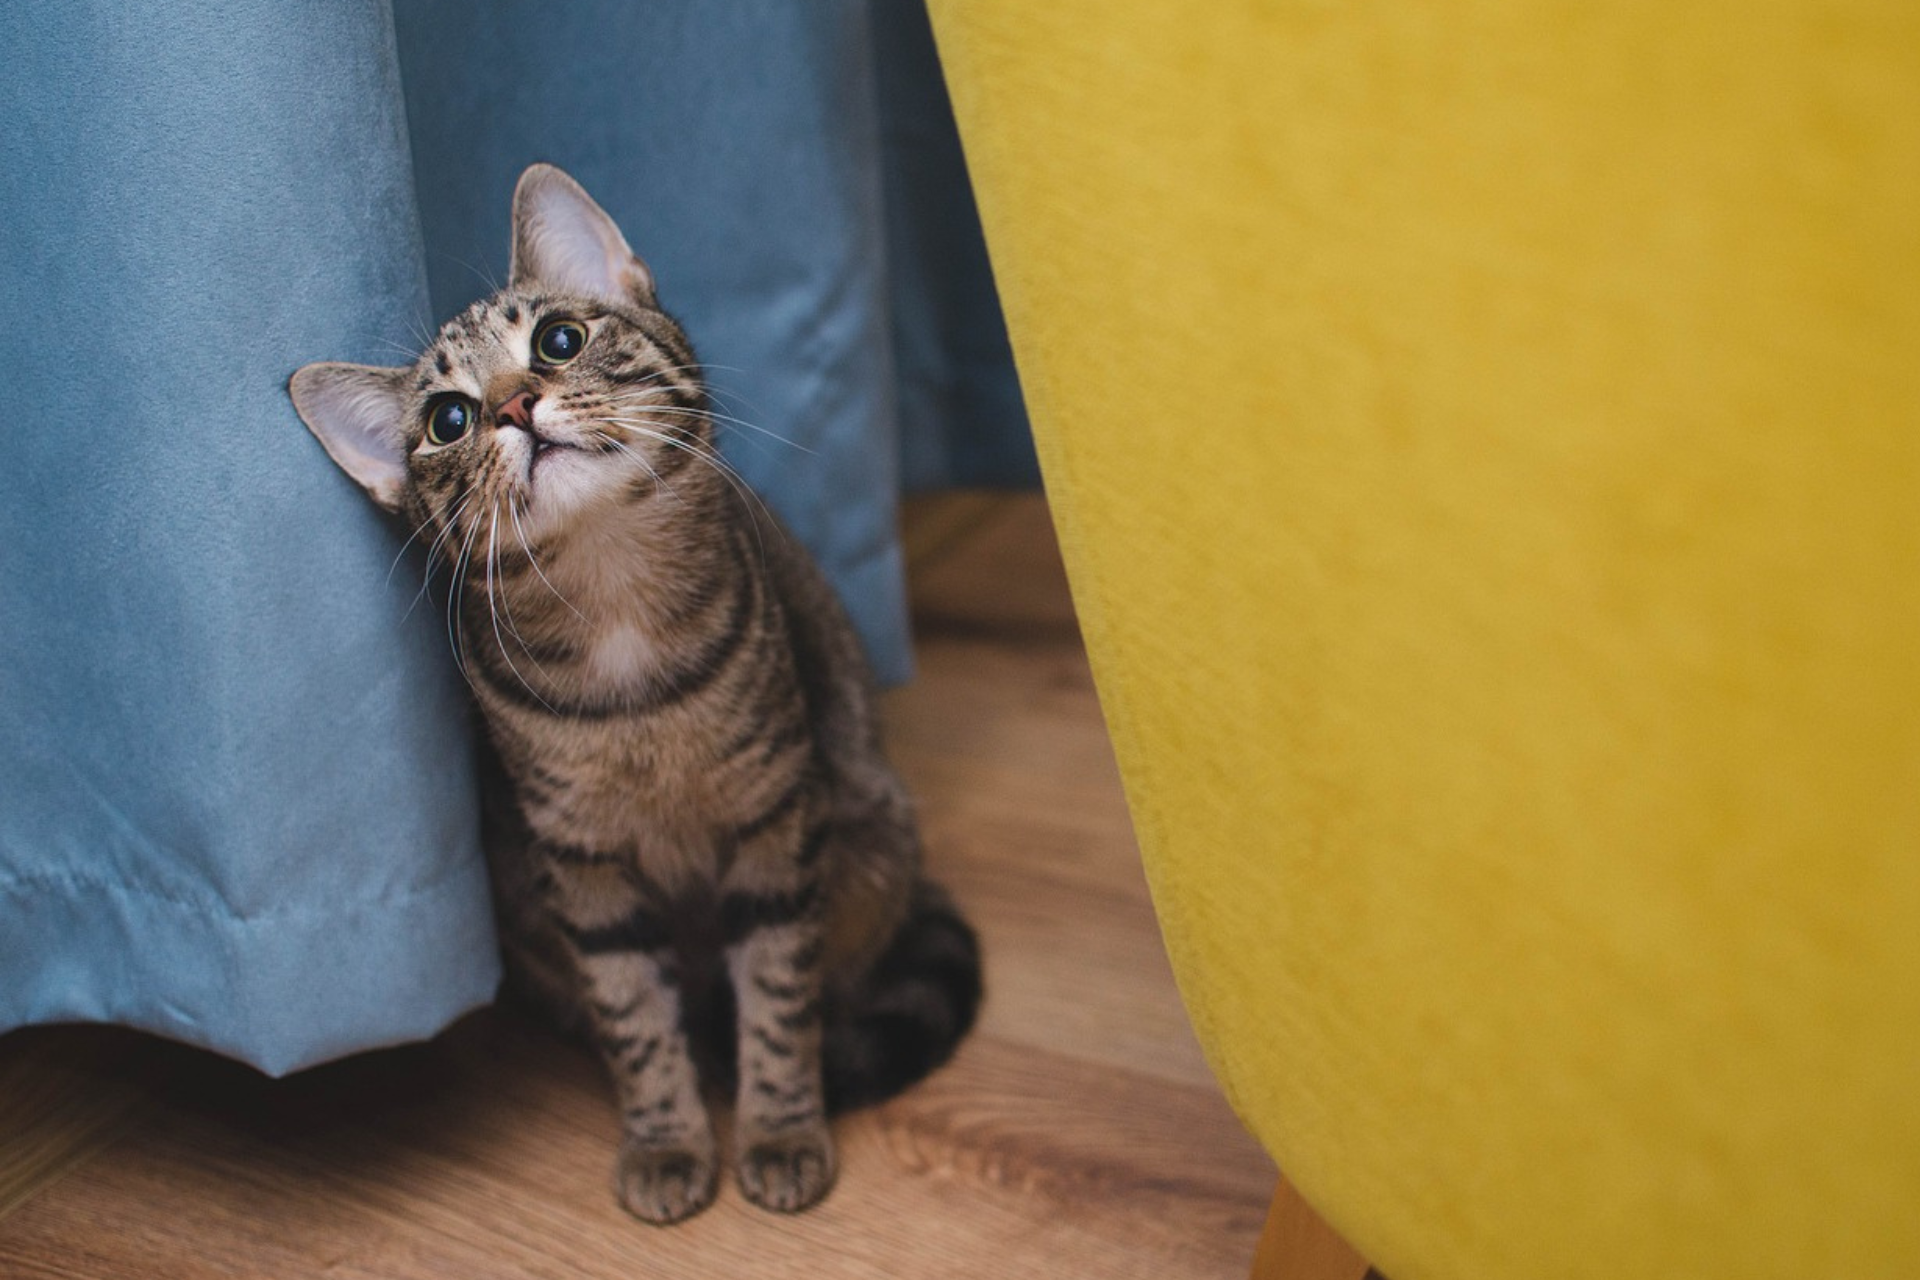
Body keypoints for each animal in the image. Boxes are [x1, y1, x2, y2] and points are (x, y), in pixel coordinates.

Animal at [291, 165, 983, 1228]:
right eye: (447, 420)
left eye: (558, 340)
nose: (513, 406)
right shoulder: (583, 867)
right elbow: (634, 1016)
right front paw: (665, 1138)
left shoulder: (774, 825)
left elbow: (778, 1001)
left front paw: (780, 1127)